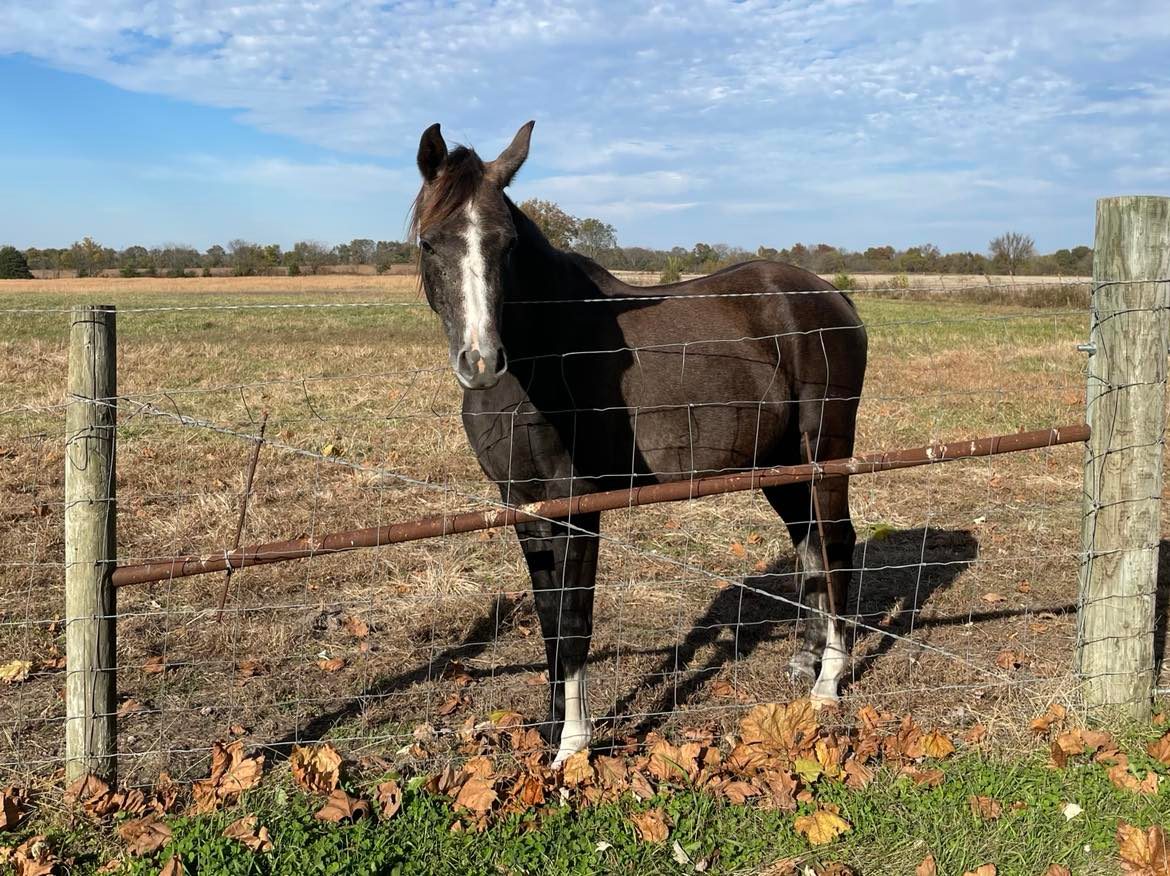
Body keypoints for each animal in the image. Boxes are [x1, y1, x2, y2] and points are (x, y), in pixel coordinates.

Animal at [411, 119, 870, 762]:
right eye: (431, 243)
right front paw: (550, 729)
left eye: (507, 245)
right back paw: (805, 660)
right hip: (781, 462)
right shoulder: (521, 503)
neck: (542, 359)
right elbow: (548, 616)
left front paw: (573, 747)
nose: (480, 361)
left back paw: (829, 682)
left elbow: (573, 620)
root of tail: (832, 297)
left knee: (836, 542)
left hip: (825, 449)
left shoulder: (578, 504)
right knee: (809, 544)